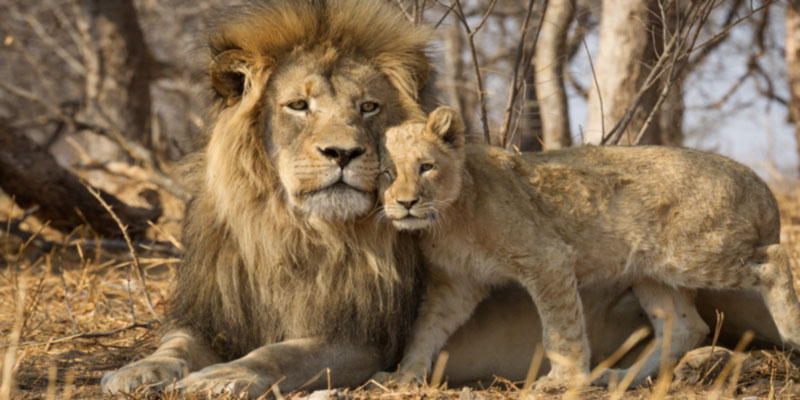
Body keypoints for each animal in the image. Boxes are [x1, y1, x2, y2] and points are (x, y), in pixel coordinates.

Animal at [374, 106, 800, 389]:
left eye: (425, 167)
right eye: (386, 173)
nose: (406, 203)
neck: (449, 219)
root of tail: (759, 182)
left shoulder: (547, 258)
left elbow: (560, 329)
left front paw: (561, 381)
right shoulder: (456, 283)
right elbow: (425, 330)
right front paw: (402, 375)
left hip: (693, 253)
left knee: (775, 260)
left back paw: (792, 330)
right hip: (653, 271)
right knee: (684, 327)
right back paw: (618, 377)